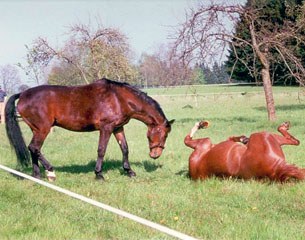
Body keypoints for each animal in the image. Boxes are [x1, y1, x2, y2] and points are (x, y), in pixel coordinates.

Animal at [5, 78, 173, 181]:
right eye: (164, 135)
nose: (155, 154)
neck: (119, 98)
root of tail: (23, 94)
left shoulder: (118, 128)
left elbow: (125, 148)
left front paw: (129, 171)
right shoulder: (106, 128)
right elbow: (101, 150)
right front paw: (99, 174)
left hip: (36, 130)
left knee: (34, 149)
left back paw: (37, 175)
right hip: (43, 129)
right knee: (34, 147)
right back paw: (50, 171)